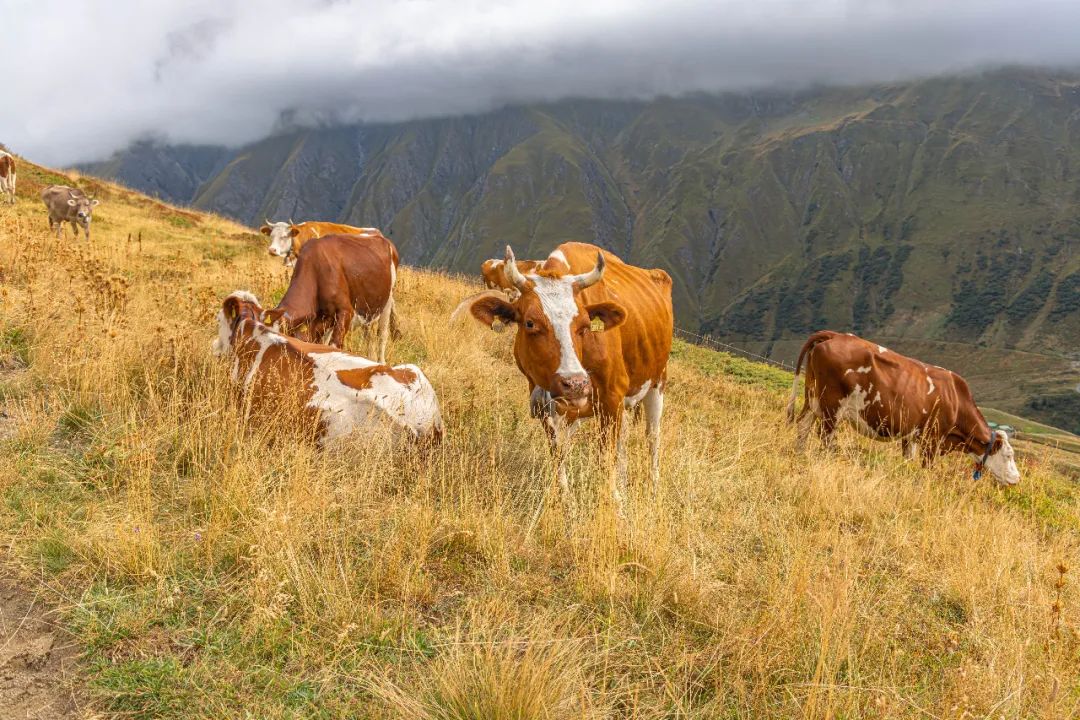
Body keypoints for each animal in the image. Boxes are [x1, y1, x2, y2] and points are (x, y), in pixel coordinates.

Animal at [262, 235, 401, 362]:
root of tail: (380, 237)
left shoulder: (346, 311)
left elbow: (334, 346)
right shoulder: (321, 321)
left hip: (387, 302)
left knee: (382, 337)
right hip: (367, 308)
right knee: (369, 337)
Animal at [460, 243, 669, 511]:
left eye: (585, 326)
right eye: (530, 323)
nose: (576, 384)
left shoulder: (612, 397)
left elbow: (606, 457)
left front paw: (614, 504)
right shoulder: (547, 404)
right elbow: (559, 452)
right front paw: (566, 500)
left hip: (657, 382)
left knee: (652, 437)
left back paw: (653, 487)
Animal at [786, 330, 1019, 487]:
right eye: (1008, 455)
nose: (1017, 478)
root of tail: (835, 335)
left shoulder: (911, 435)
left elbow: (907, 460)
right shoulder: (932, 438)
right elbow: (927, 467)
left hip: (813, 399)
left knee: (803, 426)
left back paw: (800, 455)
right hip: (832, 407)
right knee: (825, 435)